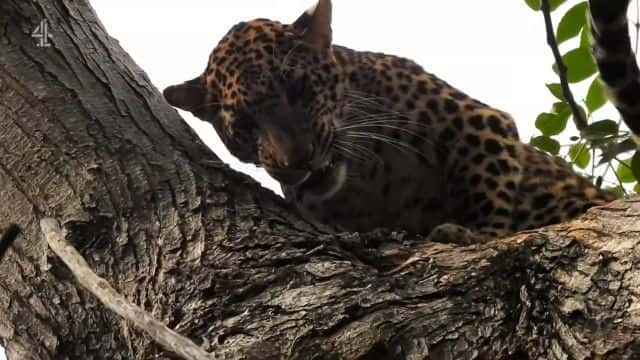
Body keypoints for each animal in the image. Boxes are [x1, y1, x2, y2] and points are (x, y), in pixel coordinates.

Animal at [164, 0, 636, 245]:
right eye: (244, 127)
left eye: (297, 88)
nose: (295, 162)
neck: (369, 176)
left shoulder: (479, 122)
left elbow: (489, 185)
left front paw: (479, 233)